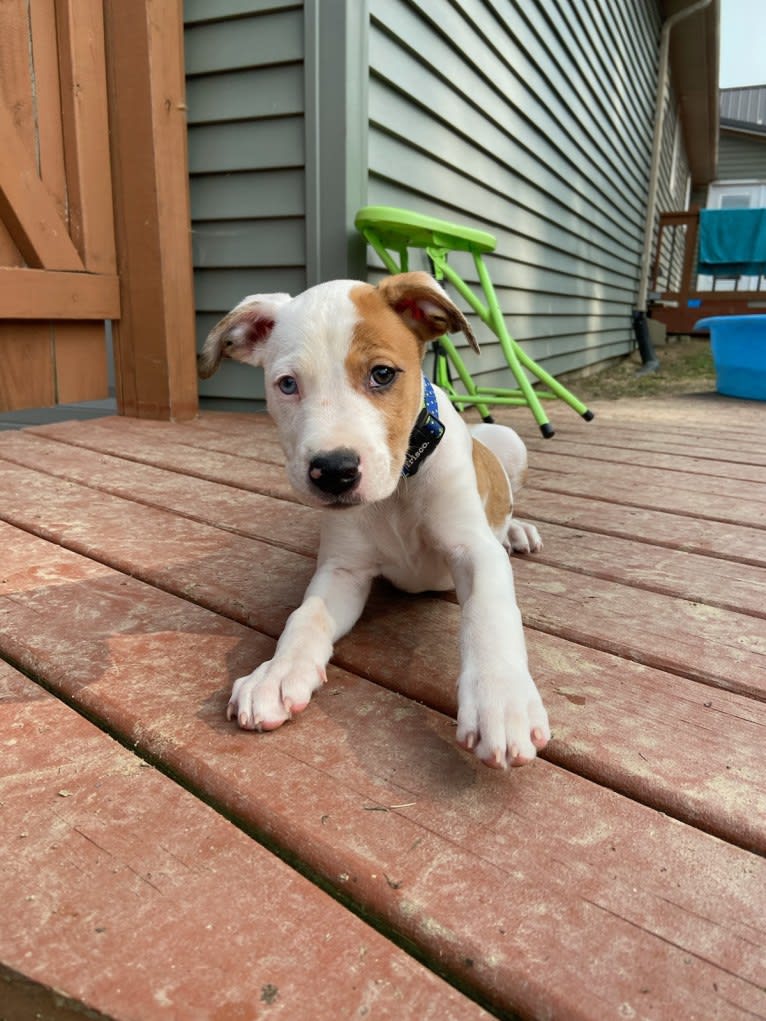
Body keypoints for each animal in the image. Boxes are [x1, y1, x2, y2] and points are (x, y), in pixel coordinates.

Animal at [199, 271, 551, 767]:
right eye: (287, 384)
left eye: (382, 374)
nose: (333, 471)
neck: (398, 489)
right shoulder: (342, 569)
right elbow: (306, 617)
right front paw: (277, 673)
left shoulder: (474, 551)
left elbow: (488, 614)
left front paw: (500, 702)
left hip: (509, 444)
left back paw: (518, 530)